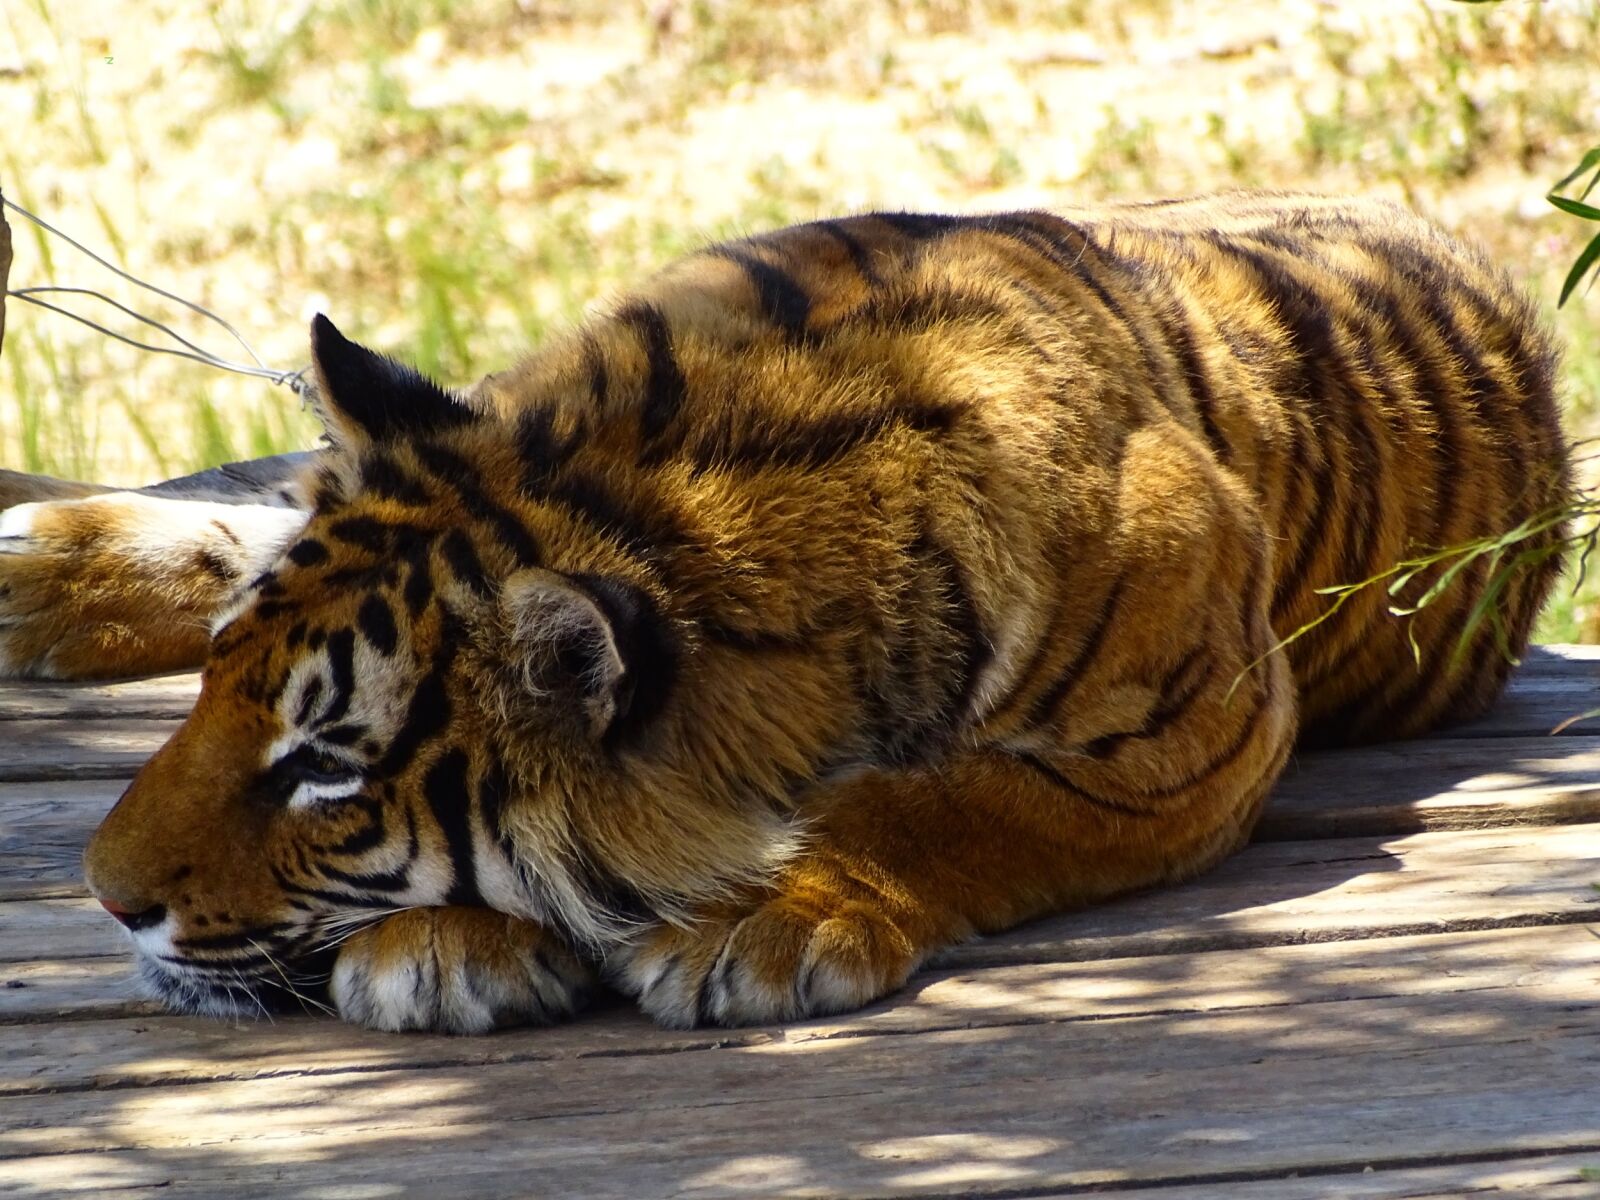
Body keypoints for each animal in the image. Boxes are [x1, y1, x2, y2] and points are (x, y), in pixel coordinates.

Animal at [0, 192, 1569, 1033]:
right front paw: (440, 944)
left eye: (325, 770)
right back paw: (42, 568)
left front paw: (757, 924)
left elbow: (944, 803)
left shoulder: (1194, 735)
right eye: (219, 693)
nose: (105, 899)